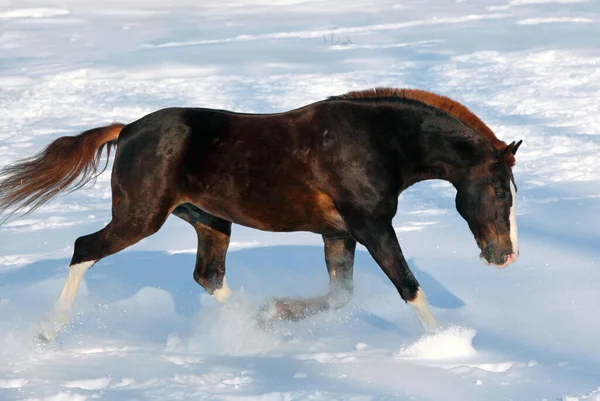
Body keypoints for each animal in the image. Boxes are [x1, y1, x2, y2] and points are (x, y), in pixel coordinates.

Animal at [0, 86, 520, 340]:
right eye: (499, 191)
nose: (506, 257)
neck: (376, 143)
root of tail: (126, 130)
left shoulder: (339, 233)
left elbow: (340, 296)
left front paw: (277, 313)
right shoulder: (371, 226)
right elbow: (408, 286)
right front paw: (445, 343)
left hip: (210, 220)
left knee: (208, 276)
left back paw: (250, 323)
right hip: (140, 218)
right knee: (83, 248)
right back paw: (47, 330)